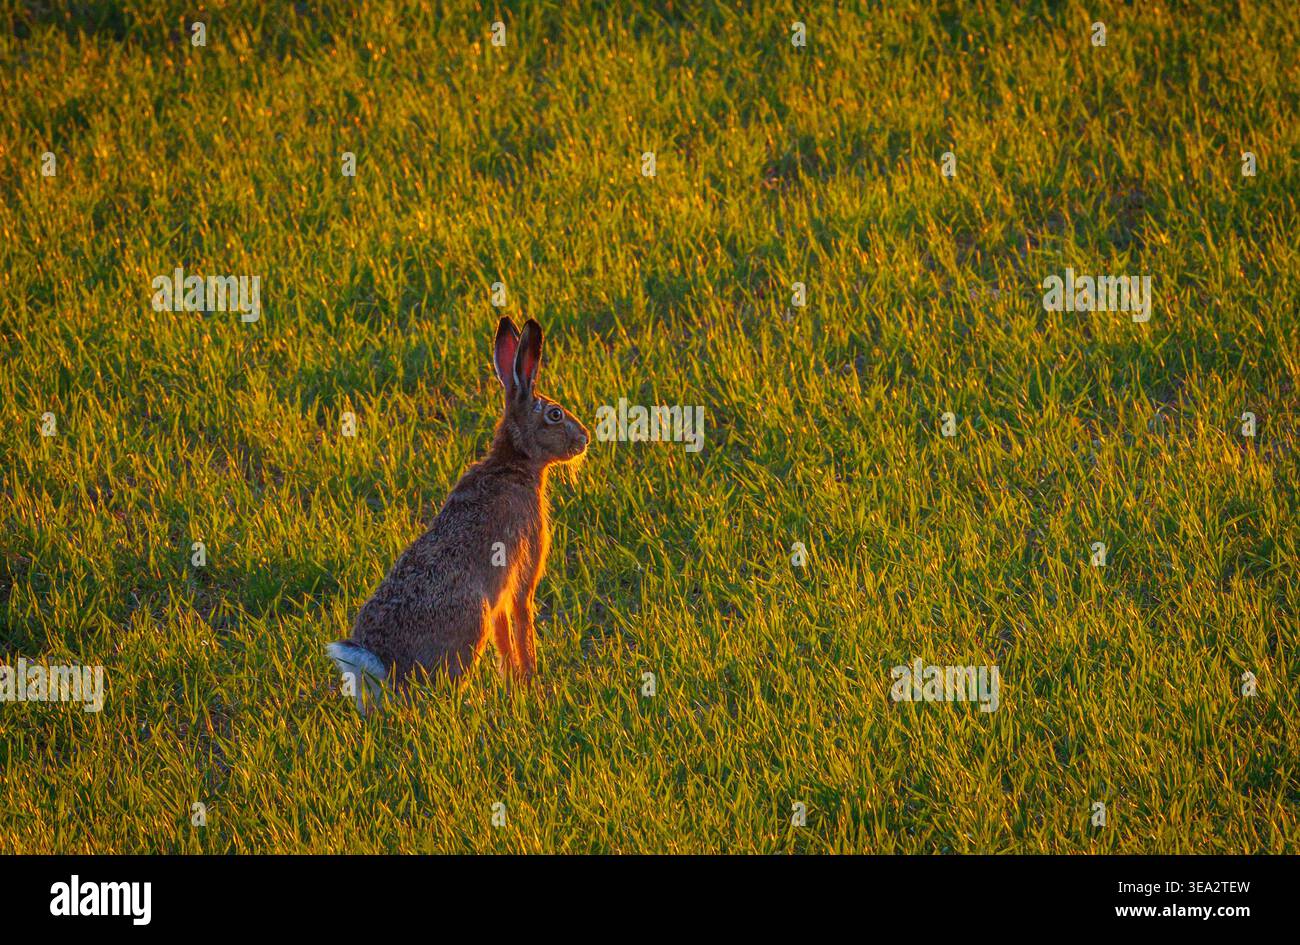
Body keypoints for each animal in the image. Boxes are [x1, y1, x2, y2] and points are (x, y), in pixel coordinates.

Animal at [327, 316, 589, 712]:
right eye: (555, 414)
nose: (585, 438)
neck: (516, 461)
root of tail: (383, 667)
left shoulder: (500, 595)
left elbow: (504, 635)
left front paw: (512, 680)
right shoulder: (522, 573)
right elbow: (522, 620)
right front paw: (531, 681)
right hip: (472, 619)